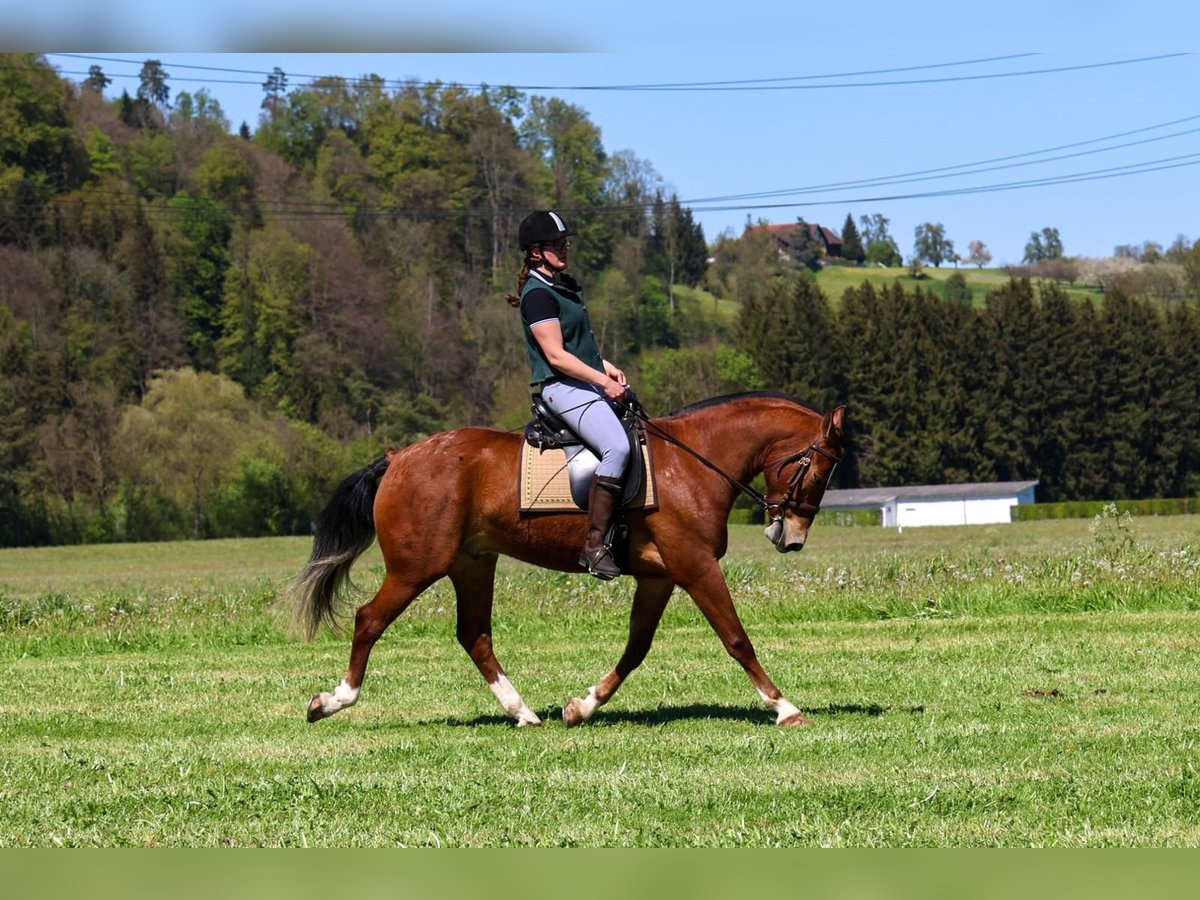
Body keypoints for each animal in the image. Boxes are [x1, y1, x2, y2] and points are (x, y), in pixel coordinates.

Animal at [289, 391, 844, 729]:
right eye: (819, 473)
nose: (792, 539)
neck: (693, 462)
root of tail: (399, 457)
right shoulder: (695, 566)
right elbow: (736, 638)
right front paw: (785, 707)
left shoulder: (660, 578)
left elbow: (636, 648)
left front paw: (583, 707)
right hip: (417, 567)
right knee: (369, 620)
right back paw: (333, 701)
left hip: (472, 563)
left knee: (474, 635)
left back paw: (523, 712)